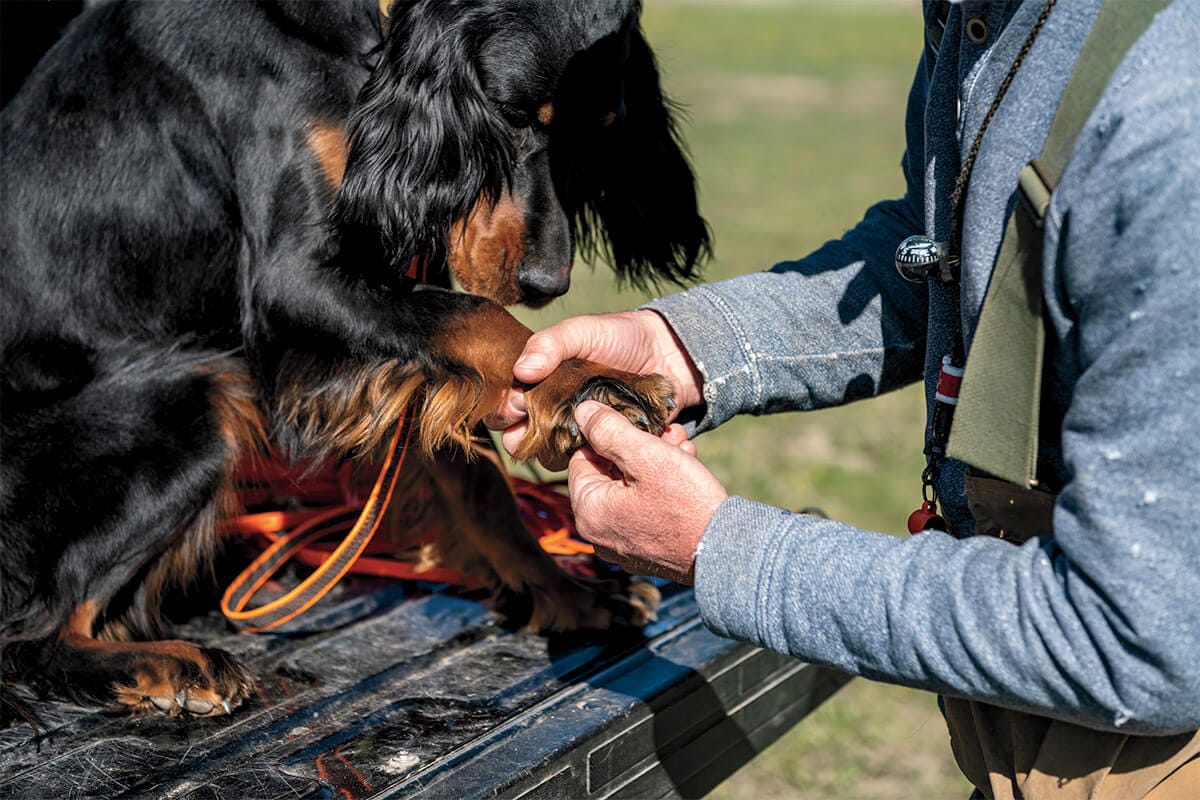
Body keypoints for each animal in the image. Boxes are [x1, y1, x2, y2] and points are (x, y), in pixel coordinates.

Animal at [0, 0, 705, 724]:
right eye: (510, 114)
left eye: (604, 133)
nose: (546, 282)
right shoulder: (297, 280)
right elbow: (479, 317)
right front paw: (594, 383)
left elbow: (480, 479)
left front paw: (568, 596)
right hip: (195, 399)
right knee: (31, 637)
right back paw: (169, 665)